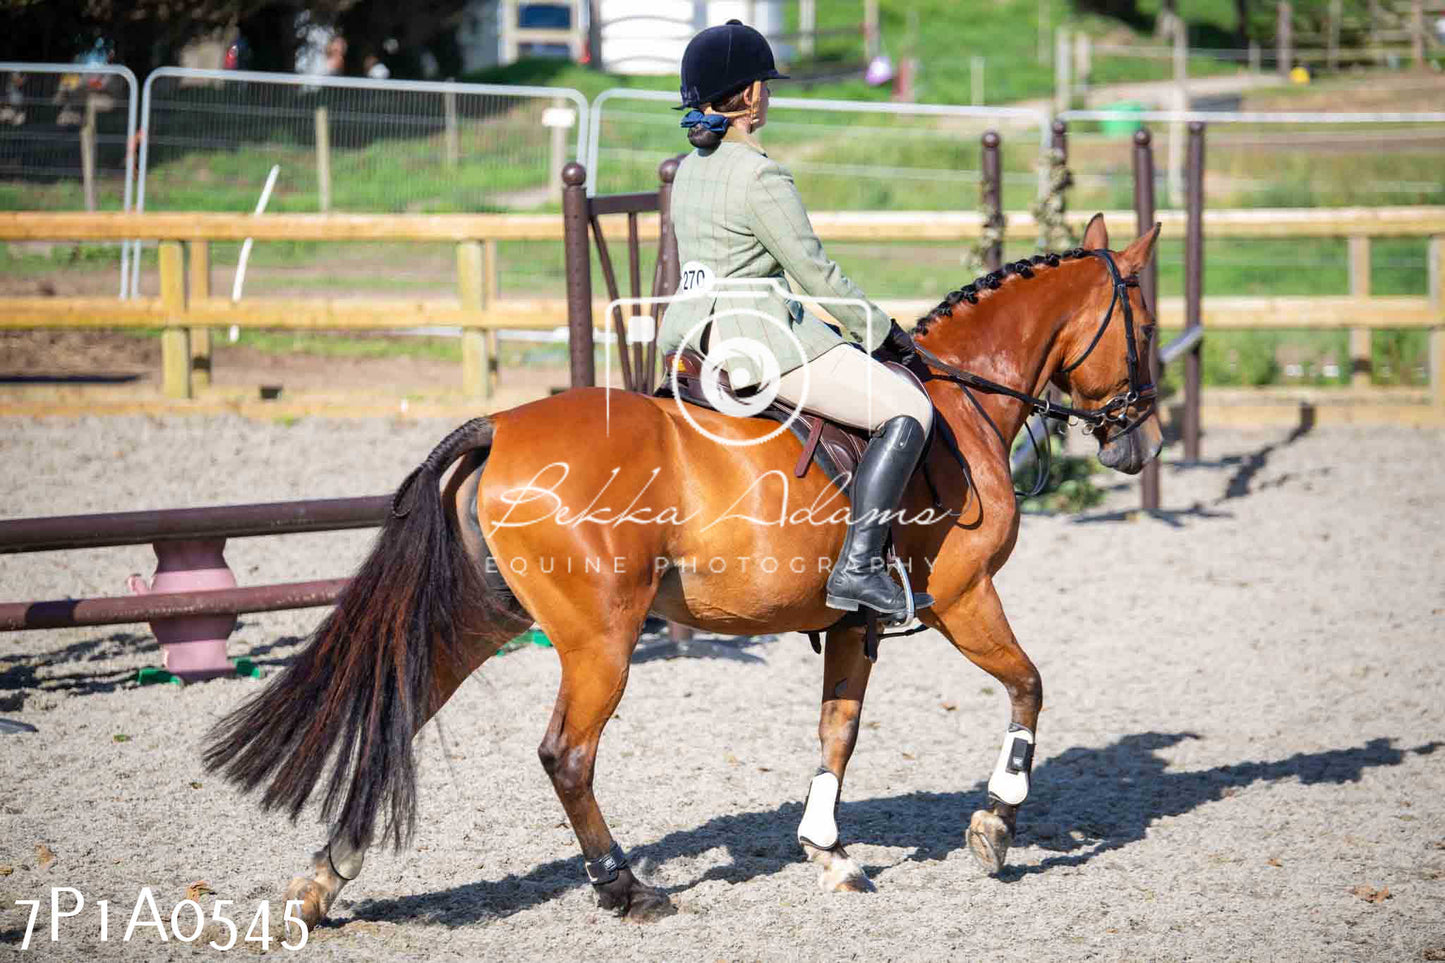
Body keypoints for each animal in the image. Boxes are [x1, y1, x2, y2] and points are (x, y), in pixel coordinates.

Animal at [206, 214, 1161, 919]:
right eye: (1144, 327)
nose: (1140, 443)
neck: (962, 399)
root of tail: (500, 427)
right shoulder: (965, 594)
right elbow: (1029, 684)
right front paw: (995, 822)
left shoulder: (852, 622)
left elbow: (838, 731)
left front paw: (829, 854)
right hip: (599, 636)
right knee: (566, 754)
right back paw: (624, 886)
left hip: (485, 615)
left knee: (399, 713)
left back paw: (324, 878)